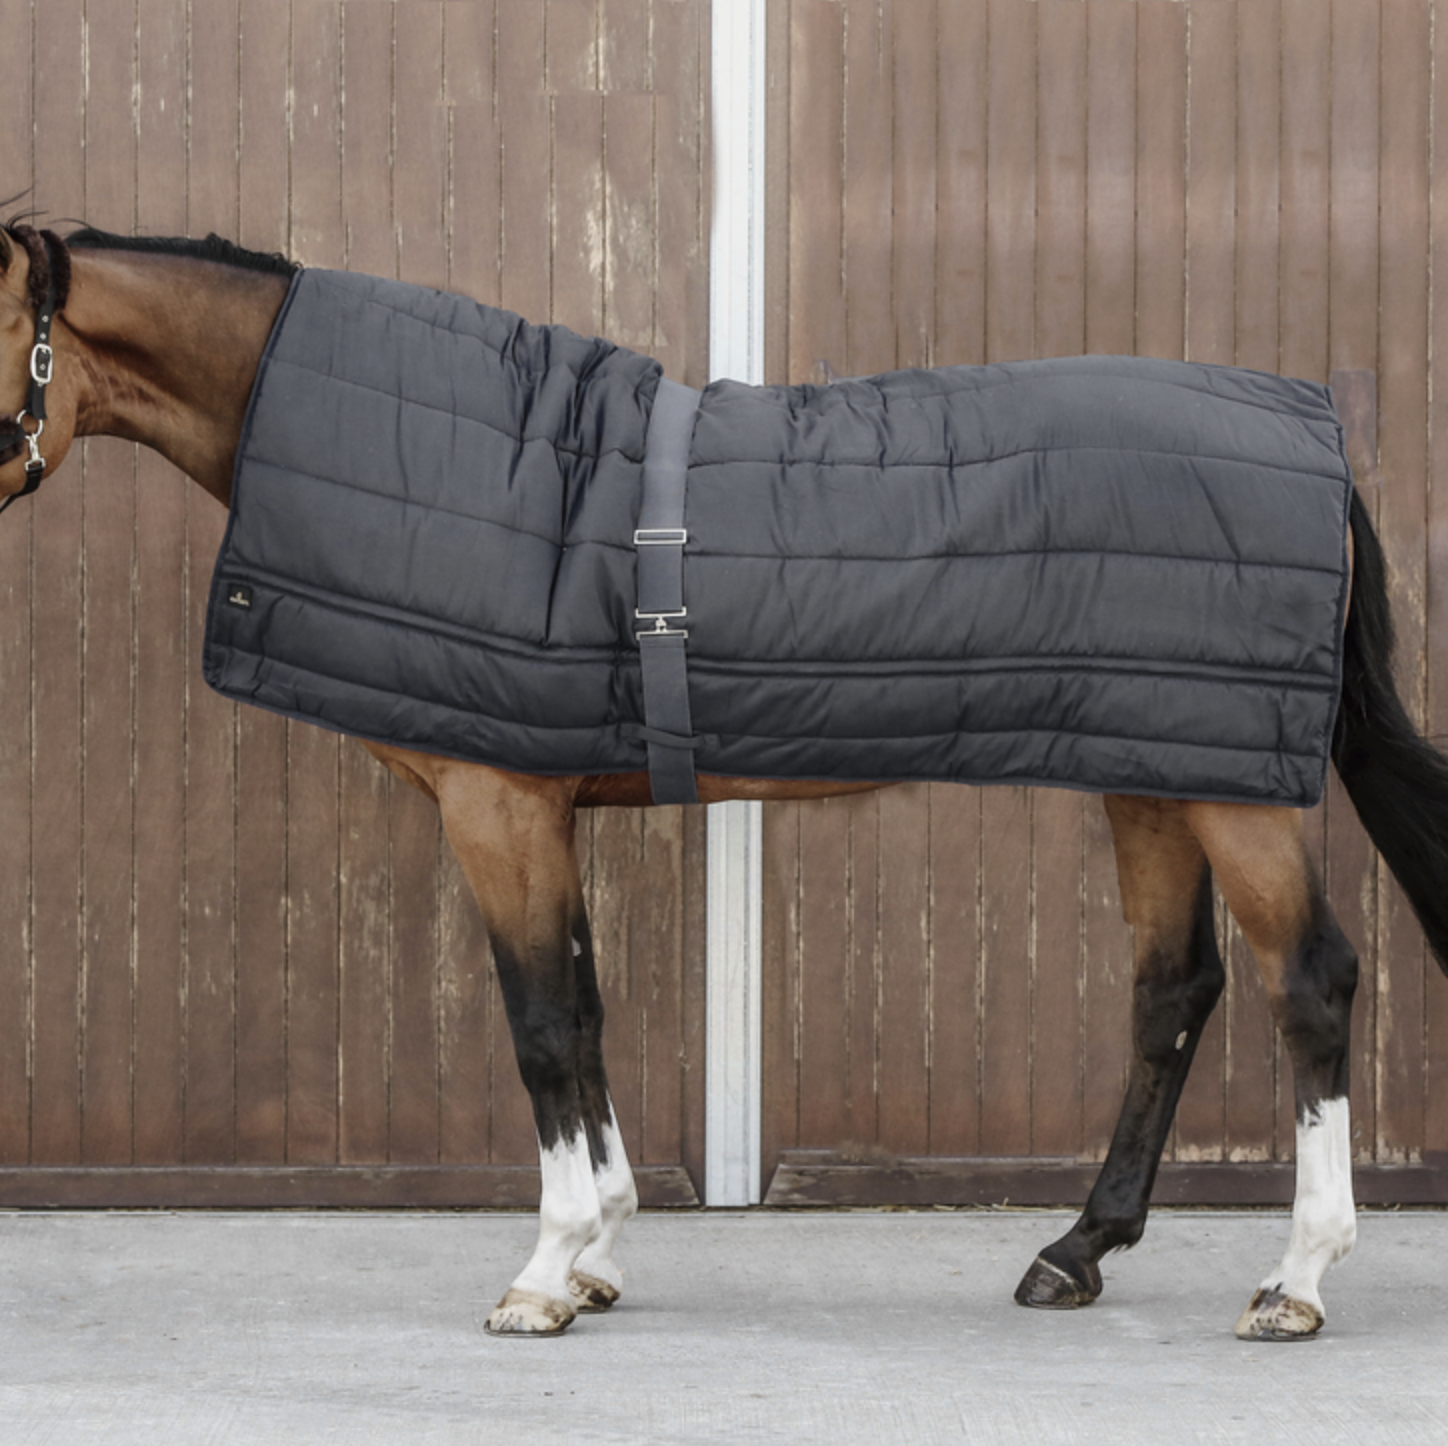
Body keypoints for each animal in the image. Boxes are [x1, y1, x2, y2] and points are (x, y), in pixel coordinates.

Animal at [1, 220, 1444, 1346]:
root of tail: (1312, 437)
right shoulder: (542, 808)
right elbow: (585, 1014)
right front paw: (597, 1255)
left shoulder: (497, 804)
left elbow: (542, 1028)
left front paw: (543, 1272)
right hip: (1156, 768)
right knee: (1173, 991)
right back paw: (1075, 1249)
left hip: (1234, 793)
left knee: (1309, 982)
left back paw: (1295, 1280)